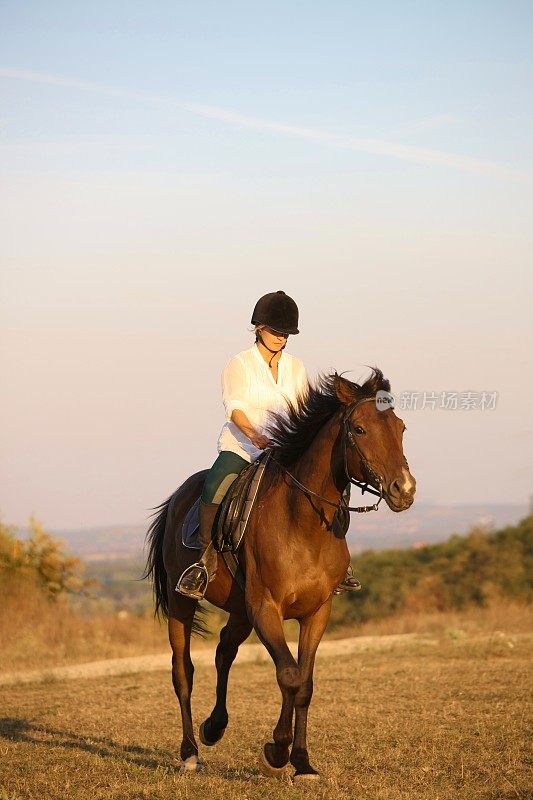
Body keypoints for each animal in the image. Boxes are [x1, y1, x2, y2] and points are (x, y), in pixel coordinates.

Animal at [144, 370, 416, 780]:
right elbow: (288, 674)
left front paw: (301, 761)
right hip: (183, 603)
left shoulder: (316, 612)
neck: (303, 522)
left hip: (239, 610)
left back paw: (214, 727)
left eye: (400, 428)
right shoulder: (266, 609)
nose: (404, 489)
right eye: (359, 428)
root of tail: (178, 497)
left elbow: (304, 682)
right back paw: (191, 752)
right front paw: (275, 750)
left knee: (224, 653)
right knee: (183, 671)